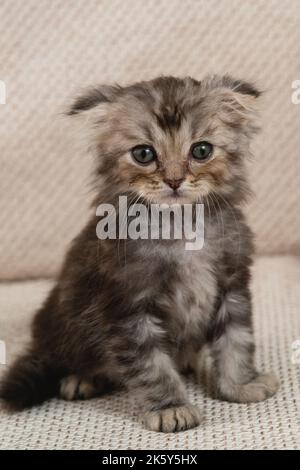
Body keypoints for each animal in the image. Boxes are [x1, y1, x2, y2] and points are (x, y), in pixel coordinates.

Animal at [0, 75, 278, 432]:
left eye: (201, 150)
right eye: (143, 154)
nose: (174, 180)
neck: (180, 229)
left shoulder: (232, 286)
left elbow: (235, 342)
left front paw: (240, 384)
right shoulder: (128, 306)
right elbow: (151, 366)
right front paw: (170, 408)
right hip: (64, 322)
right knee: (66, 359)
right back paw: (82, 379)